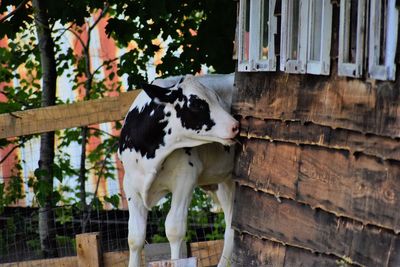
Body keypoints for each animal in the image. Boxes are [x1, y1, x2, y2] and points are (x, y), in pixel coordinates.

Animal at [118, 74, 238, 267]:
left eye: (216, 98)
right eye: (196, 104)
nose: (235, 126)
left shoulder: (185, 178)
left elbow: (174, 229)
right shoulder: (130, 183)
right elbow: (135, 237)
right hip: (224, 182)